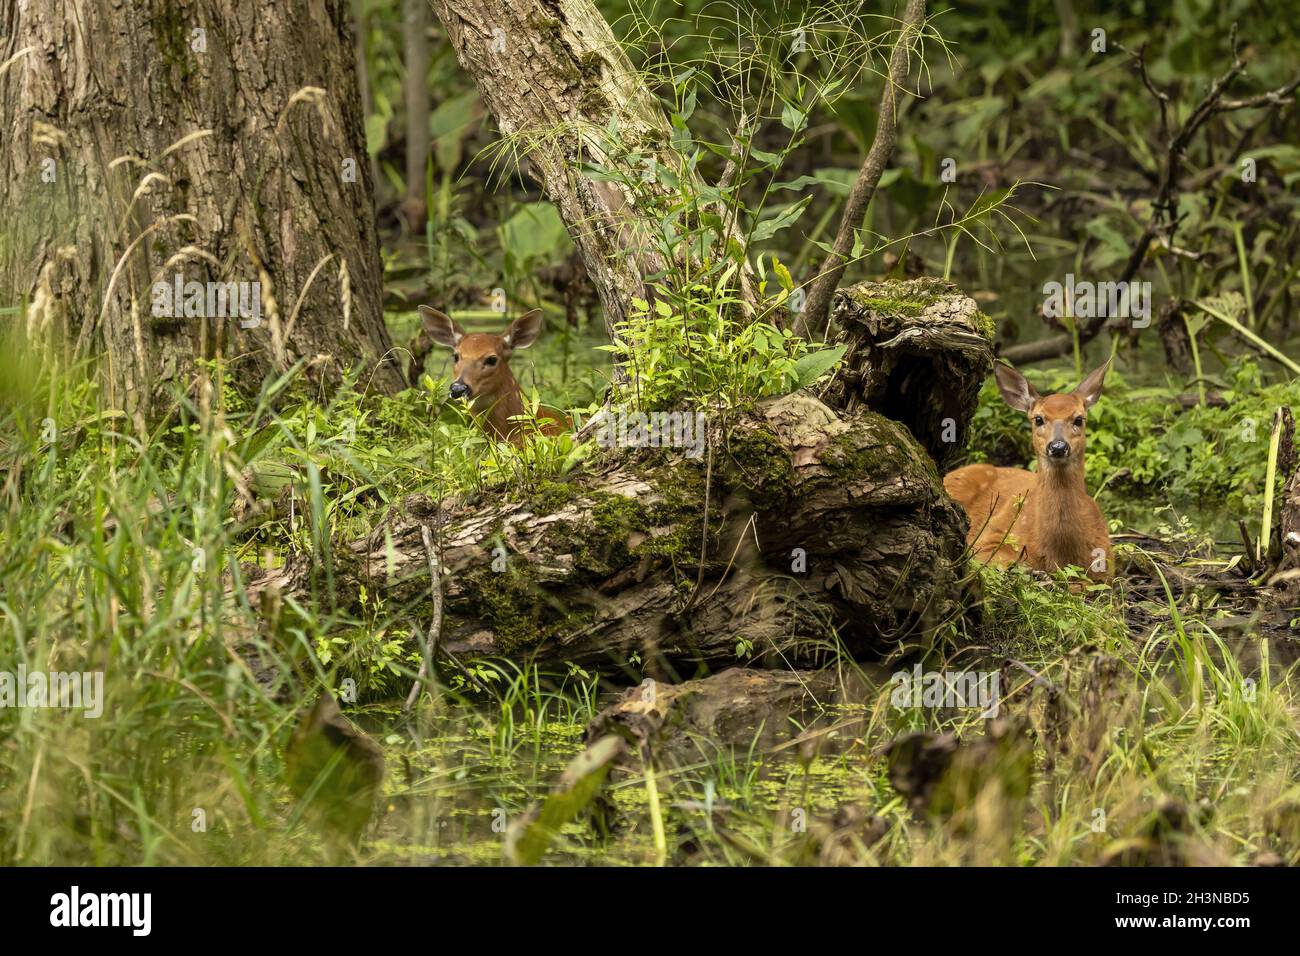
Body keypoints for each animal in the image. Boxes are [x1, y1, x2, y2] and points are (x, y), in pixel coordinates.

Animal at [946, 361, 1118, 580]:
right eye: (1038, 419)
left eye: (1079, 419)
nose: (1058, 447)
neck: (1060, 552)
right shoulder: (990, 537)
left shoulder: (1106, 563)